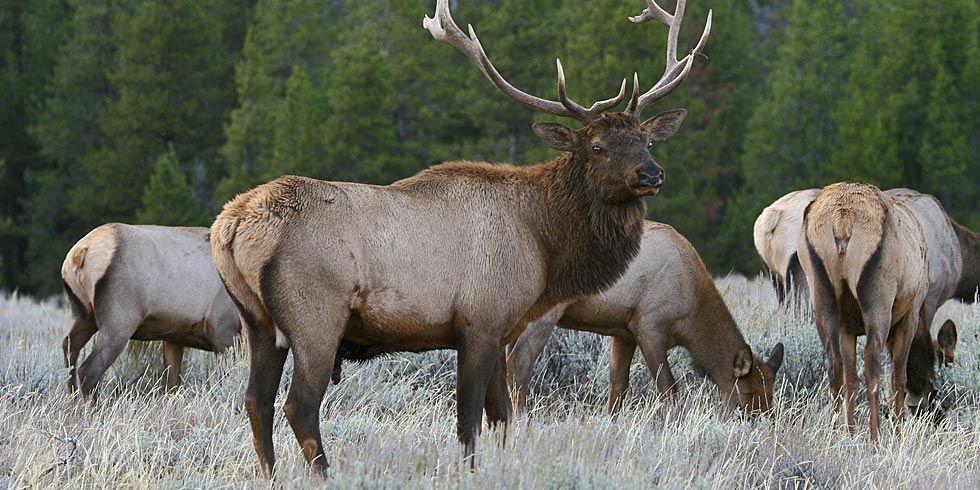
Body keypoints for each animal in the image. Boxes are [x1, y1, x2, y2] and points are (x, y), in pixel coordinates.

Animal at [60, 224, 242, 396]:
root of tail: (79, 254)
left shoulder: (175, 338)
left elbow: (172, 387)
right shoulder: (223, 330)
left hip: (84, 314)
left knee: (69, 346)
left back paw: (71, 400)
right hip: (119, 321)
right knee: (89, 370)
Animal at [209, 0, 712, 476]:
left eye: (647, 141)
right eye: (598, 146)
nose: (651, 174)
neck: (542, 242)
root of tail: (231, 224)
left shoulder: (501, 327)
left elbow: (502, 417)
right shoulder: (479, 322)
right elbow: (470, 421)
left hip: (259, 324)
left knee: (255, 401)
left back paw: (271, 475)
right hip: (315, 316)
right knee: (299, 406)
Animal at [510, 220, 784, 416]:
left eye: (769, 402)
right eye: (744, 401)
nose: (755, 425)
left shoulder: (624, 333)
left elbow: (618, 387)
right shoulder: (649, 326)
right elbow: (668, 389)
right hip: (544, 311)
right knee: (518, 365)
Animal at [796, 182, 928, 442]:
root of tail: (842, 219)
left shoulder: (847, 328)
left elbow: (850, 378)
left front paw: (850, 429)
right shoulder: (911, 313)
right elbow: (899, 377)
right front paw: (899, 434)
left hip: (821, 293)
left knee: (835, 365)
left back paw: (836, 433)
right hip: (878, 297)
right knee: (872, 364)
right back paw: (875, 437)